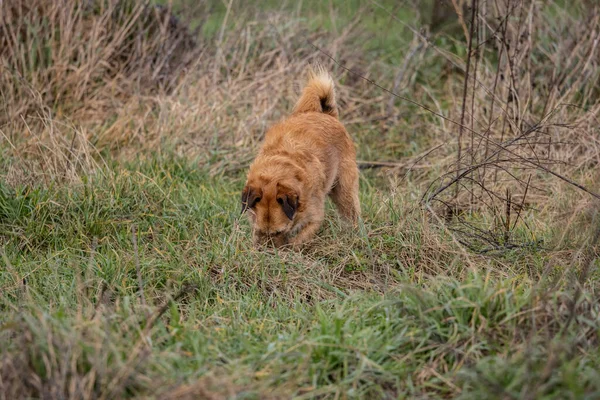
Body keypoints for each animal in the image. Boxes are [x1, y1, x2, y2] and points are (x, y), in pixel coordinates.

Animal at [240, 65, 360, 247]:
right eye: (261, 231)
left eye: (279, 232)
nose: (268, 251)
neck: (277, 172)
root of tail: (326, 114)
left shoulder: (314, 217)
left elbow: (299, 239)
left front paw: (290, 249)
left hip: (343, 190)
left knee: (351, 211)